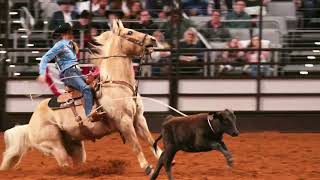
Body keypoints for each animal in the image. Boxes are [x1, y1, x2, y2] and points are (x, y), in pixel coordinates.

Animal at [0, 19, 162, 174]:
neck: (117, 83)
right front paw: (147, 167)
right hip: (54, 146)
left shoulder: (139, 119)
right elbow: (136, 145)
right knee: (64, 164)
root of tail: (30, 125)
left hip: (75, 145)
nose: (153, 39)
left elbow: (151, 140)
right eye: (129, 32)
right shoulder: (124, 121)